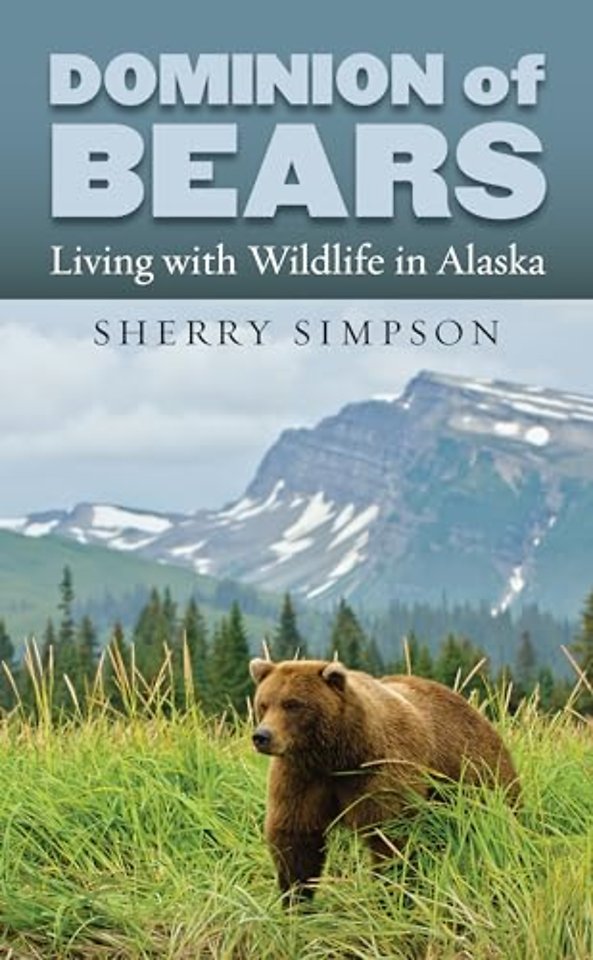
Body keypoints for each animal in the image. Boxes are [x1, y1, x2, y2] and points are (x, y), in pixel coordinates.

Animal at [250, 658, 519, 900]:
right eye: (263, 704)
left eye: (293, 704)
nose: (262, 736)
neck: (340, 757)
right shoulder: (301, 776)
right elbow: (295, 837)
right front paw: (296, 899)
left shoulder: (382, 773)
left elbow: (391, 836)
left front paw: (391, 893)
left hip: (474, 775)